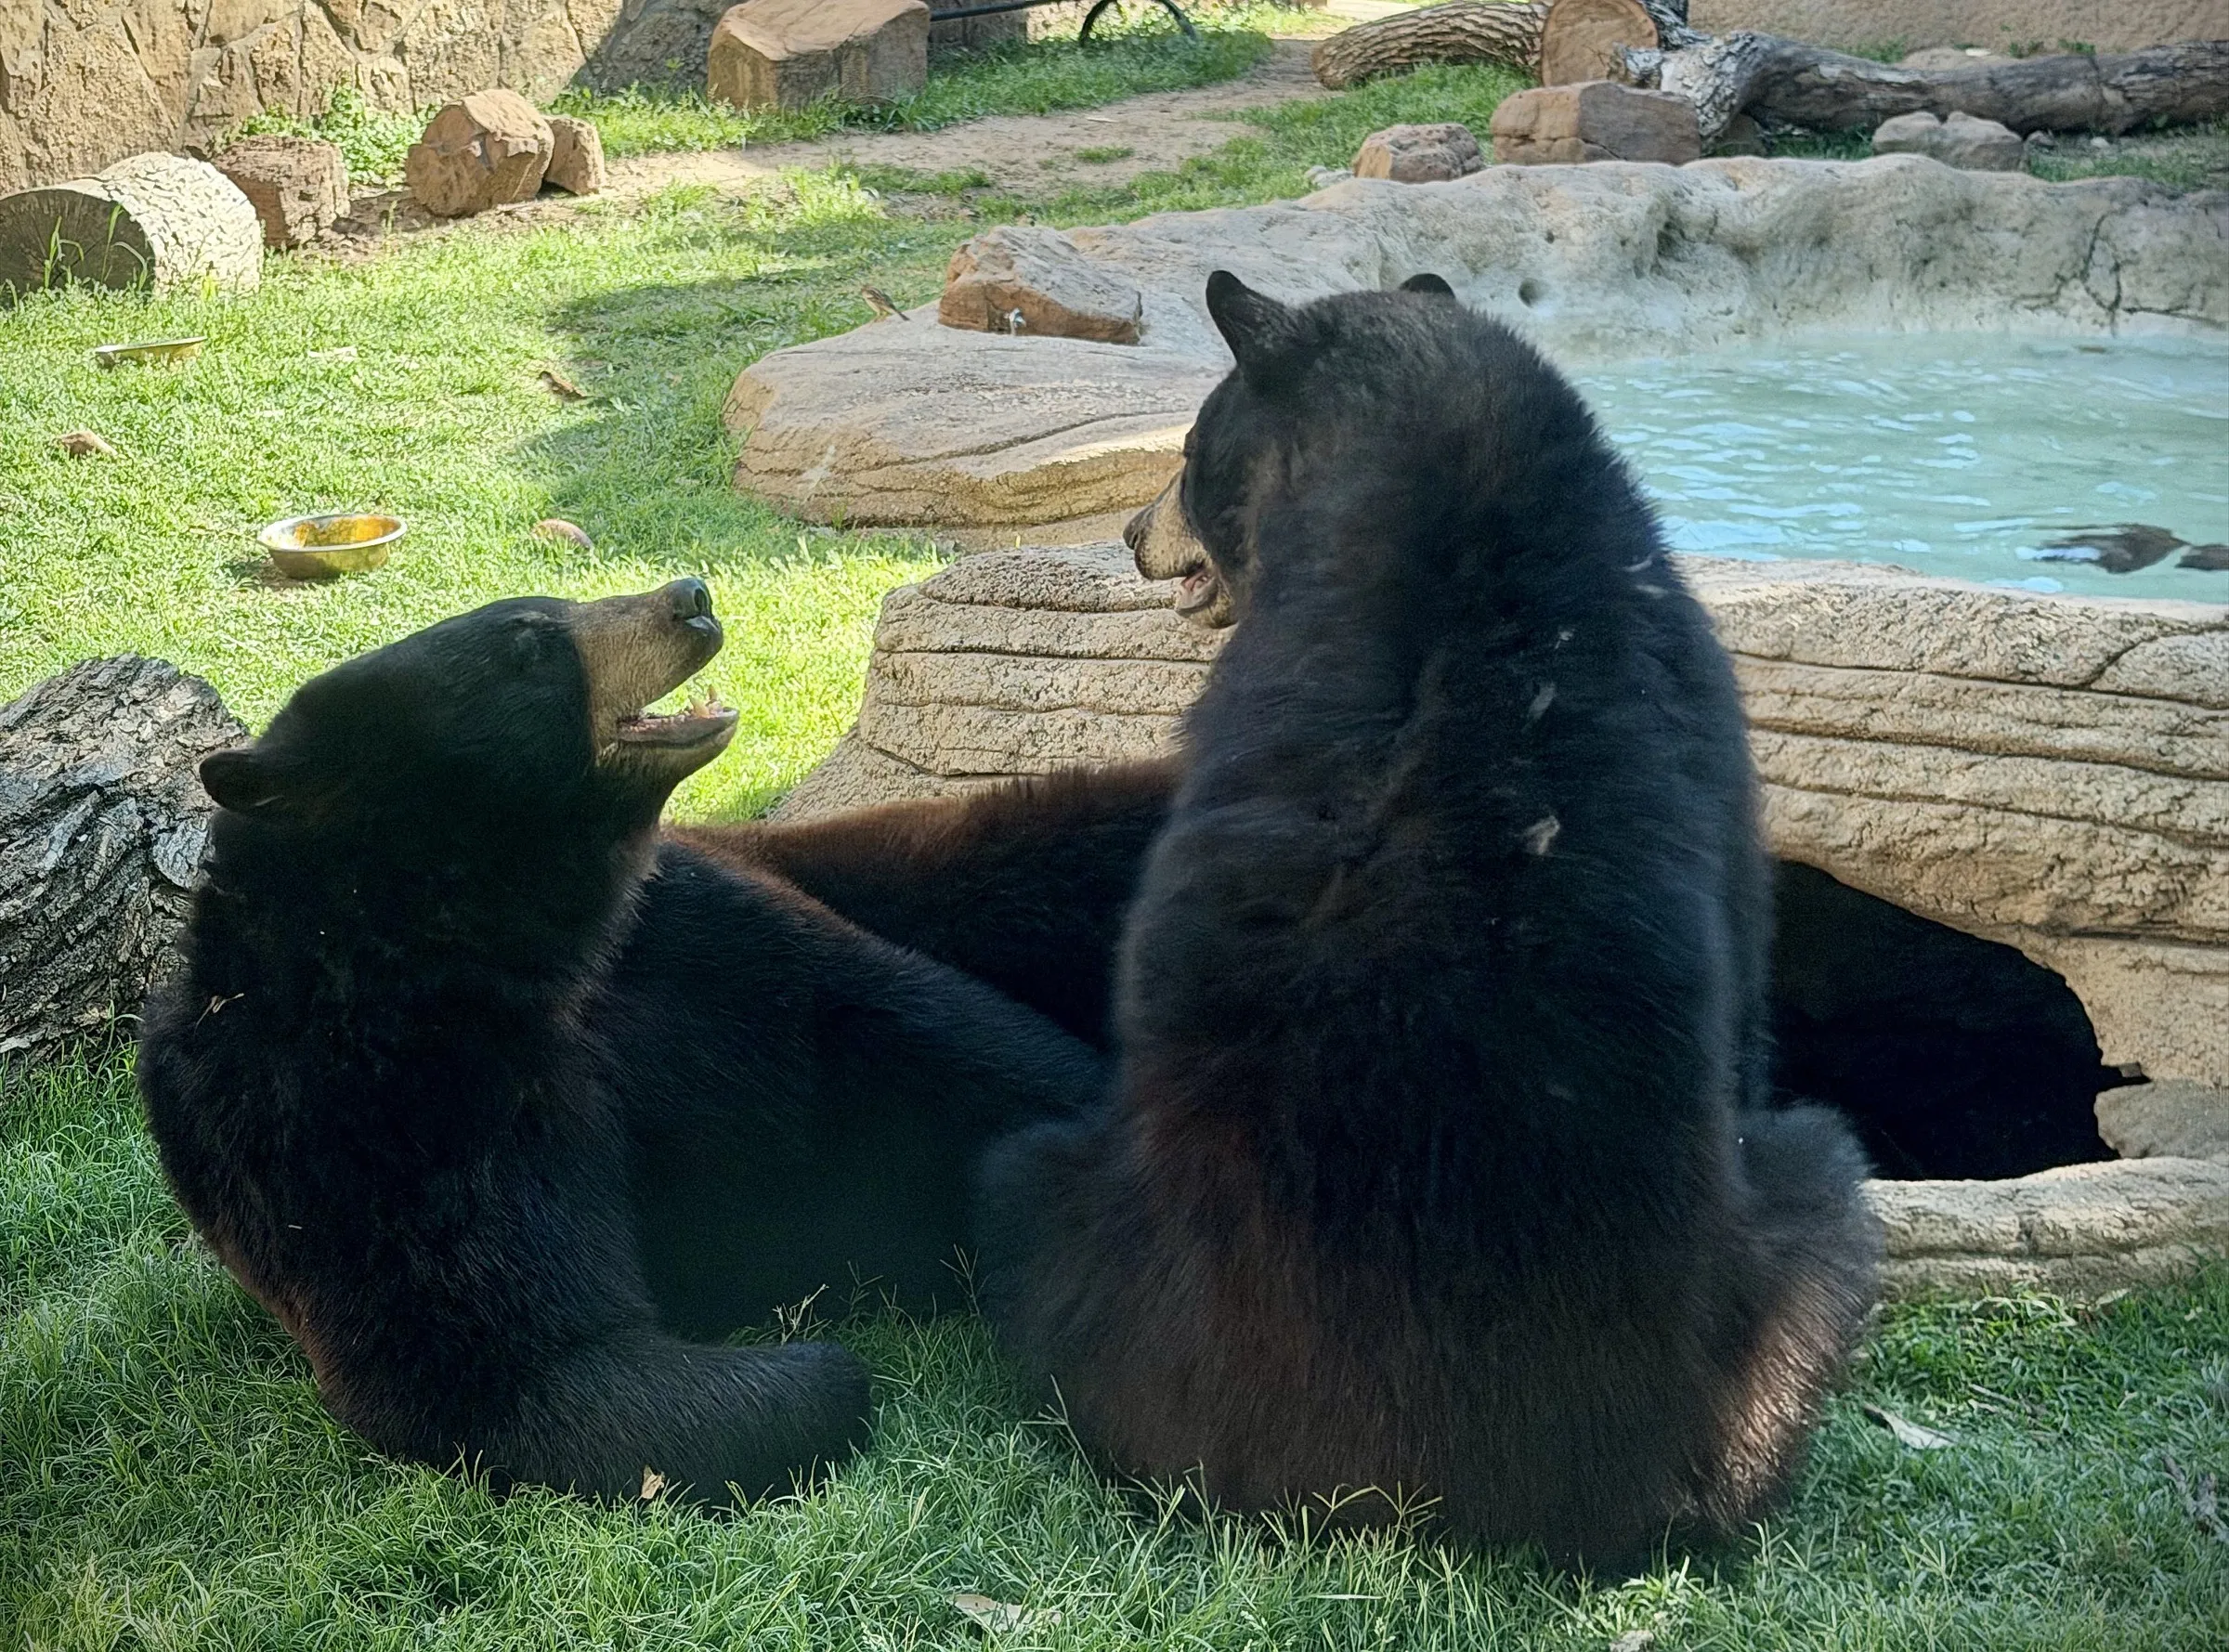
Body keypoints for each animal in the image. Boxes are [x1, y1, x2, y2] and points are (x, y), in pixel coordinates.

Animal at [138, 579, 1107, 1504]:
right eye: (531, 646)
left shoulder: (700, 928)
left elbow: (941, 1037)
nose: (692, 597)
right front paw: (811, 1367)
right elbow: (524, 1360)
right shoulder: (357, 1117)